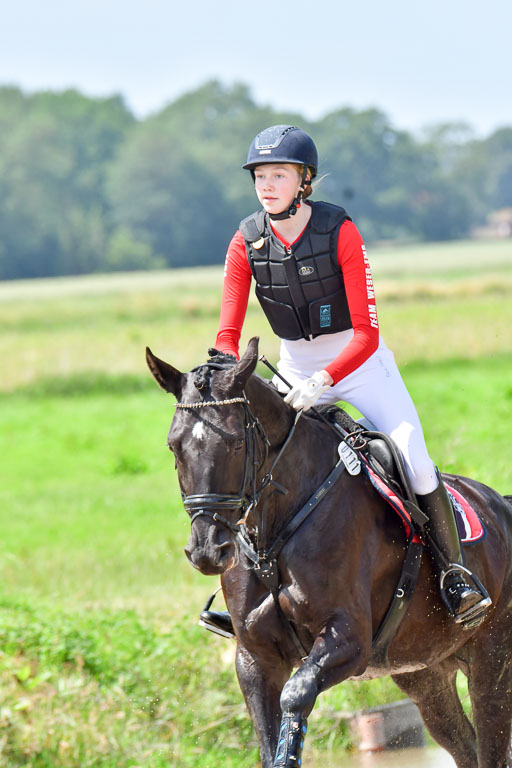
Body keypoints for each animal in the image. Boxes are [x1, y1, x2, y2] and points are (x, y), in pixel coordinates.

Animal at [146, 337, 512, 768]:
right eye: (174, 445)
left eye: (236, 443)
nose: (207, 550)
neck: (276, 529)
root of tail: (501, 506)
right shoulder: (255, 658)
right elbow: (268, 737)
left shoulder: (348, 640)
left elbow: (295, 696)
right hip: (425, 672)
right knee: (464, 744)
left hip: (492, 664)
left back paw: (462, 591)